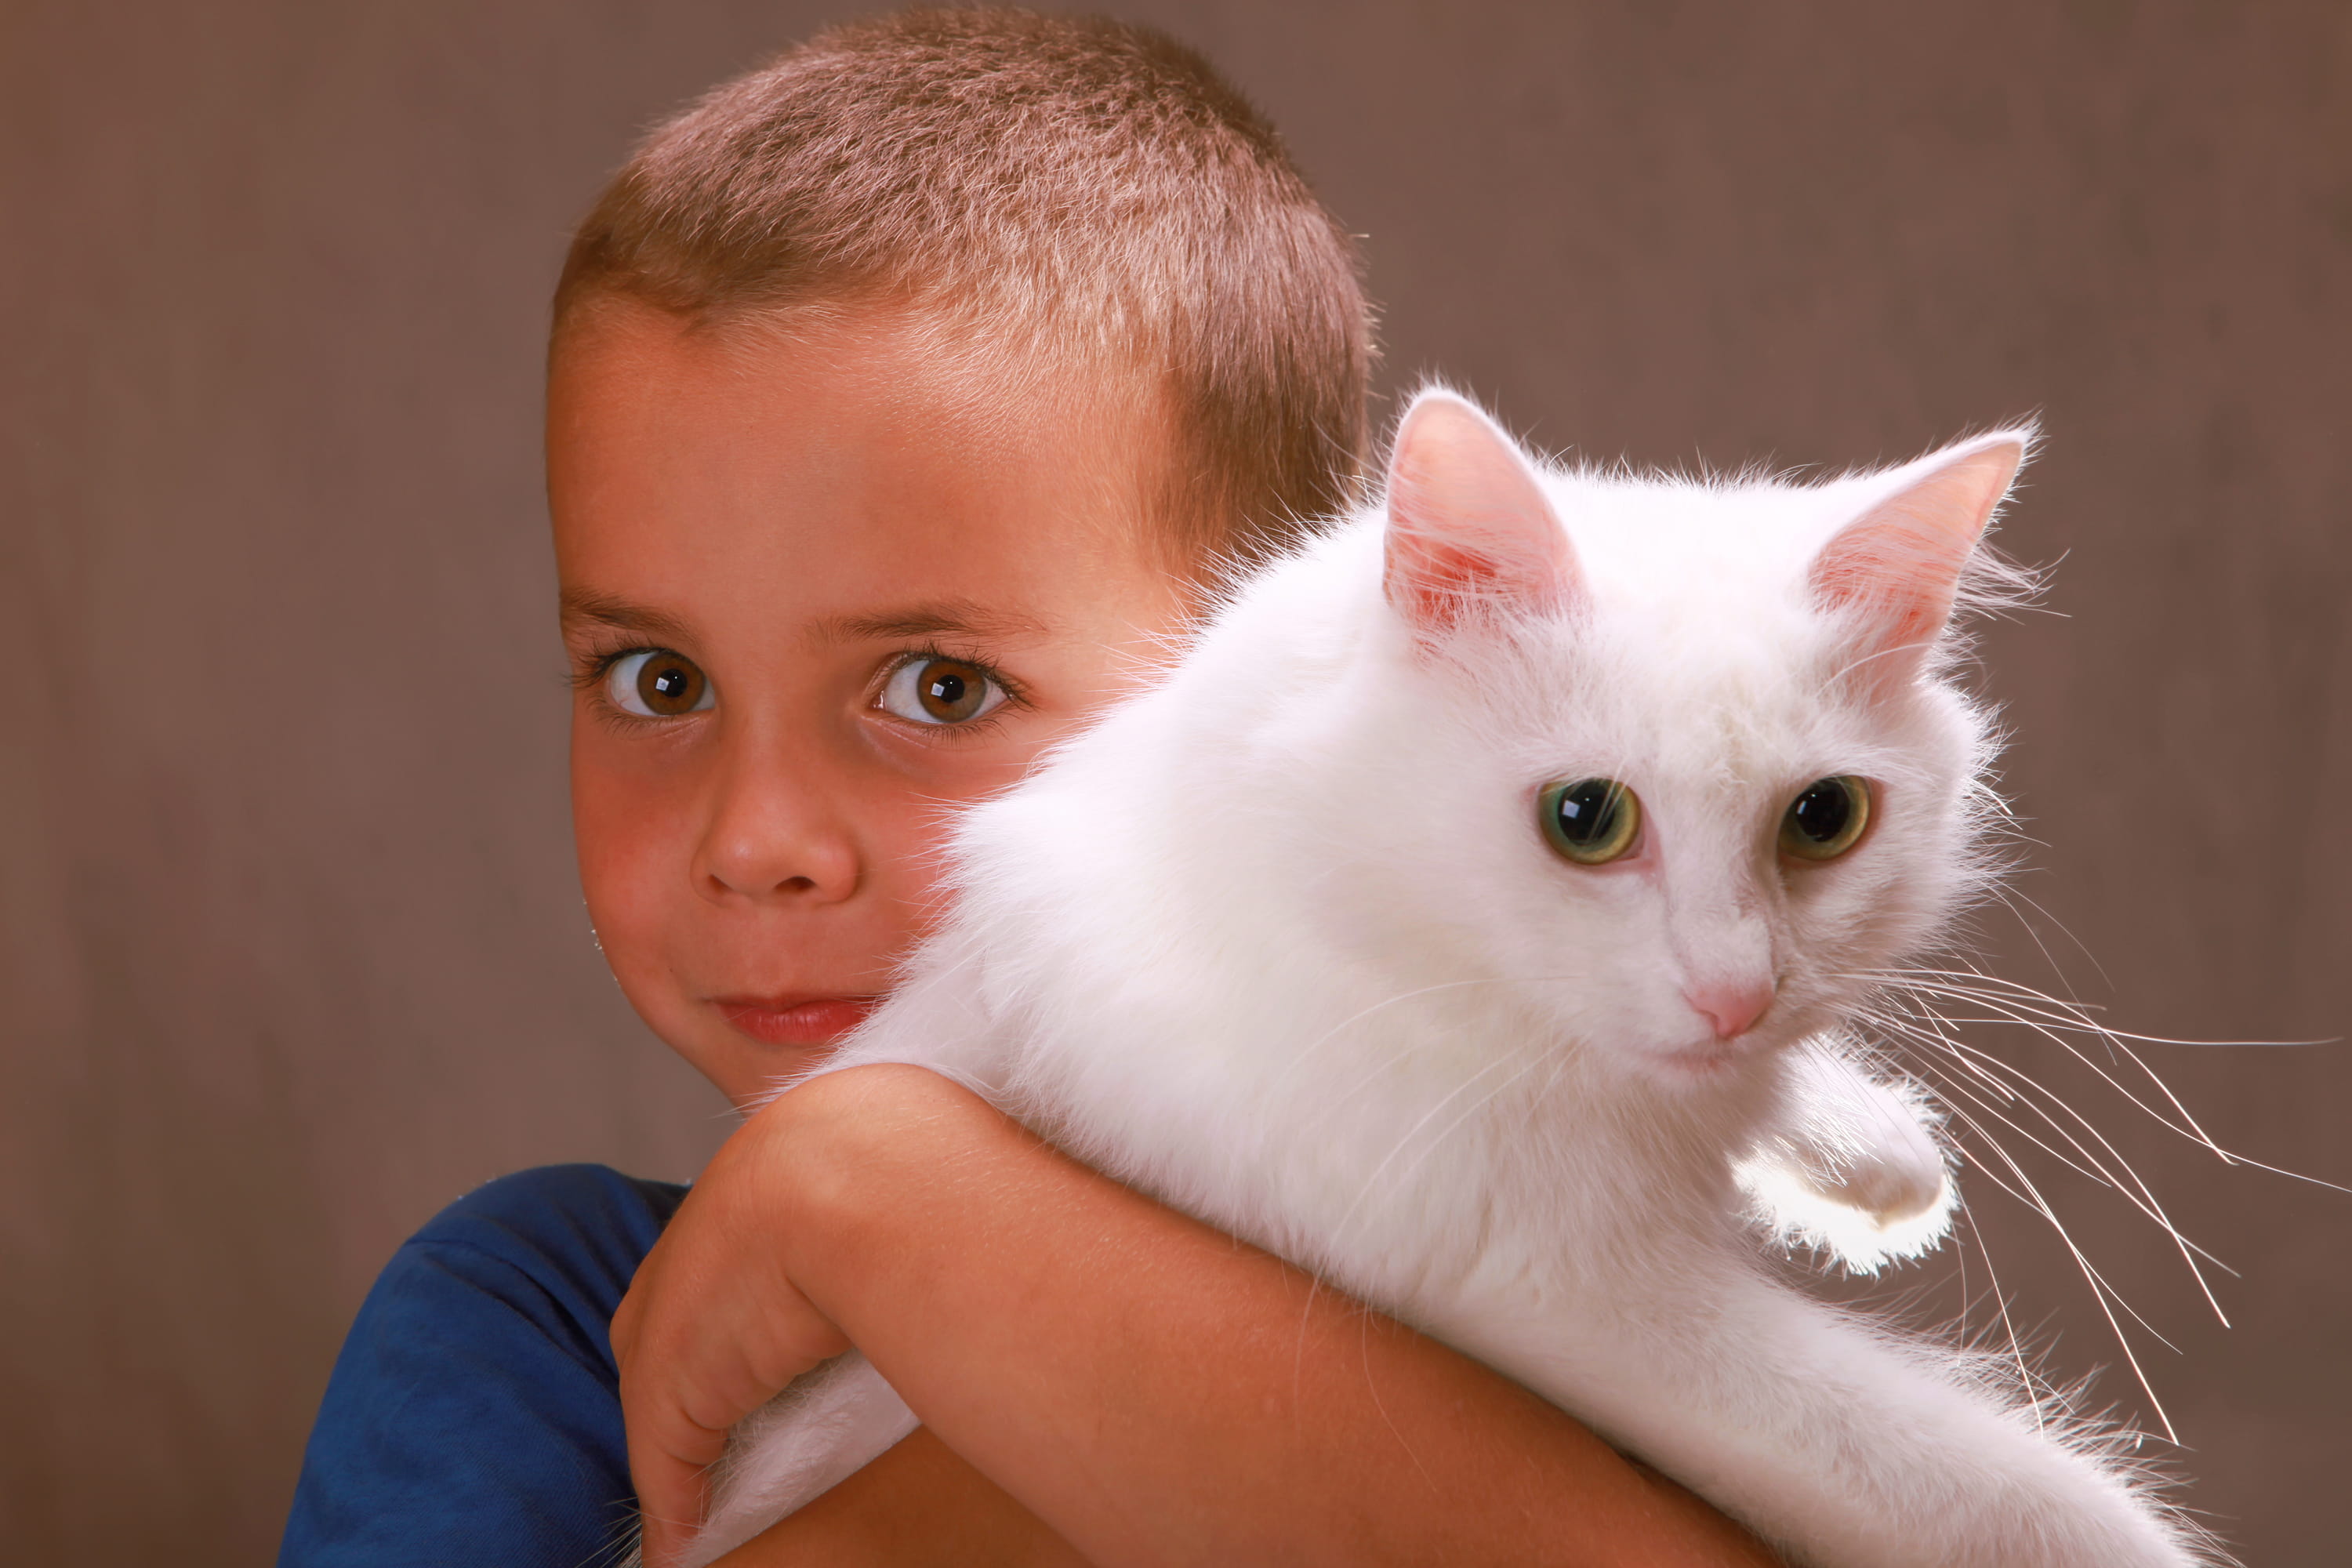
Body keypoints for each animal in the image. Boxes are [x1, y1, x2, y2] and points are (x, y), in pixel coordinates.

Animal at [677, 383, 2201, 1568]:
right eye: (1586, 820)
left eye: (1824, 820)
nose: (1734, 994)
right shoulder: (1555, 1291)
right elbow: (1992, 1491)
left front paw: (1872, 1154)